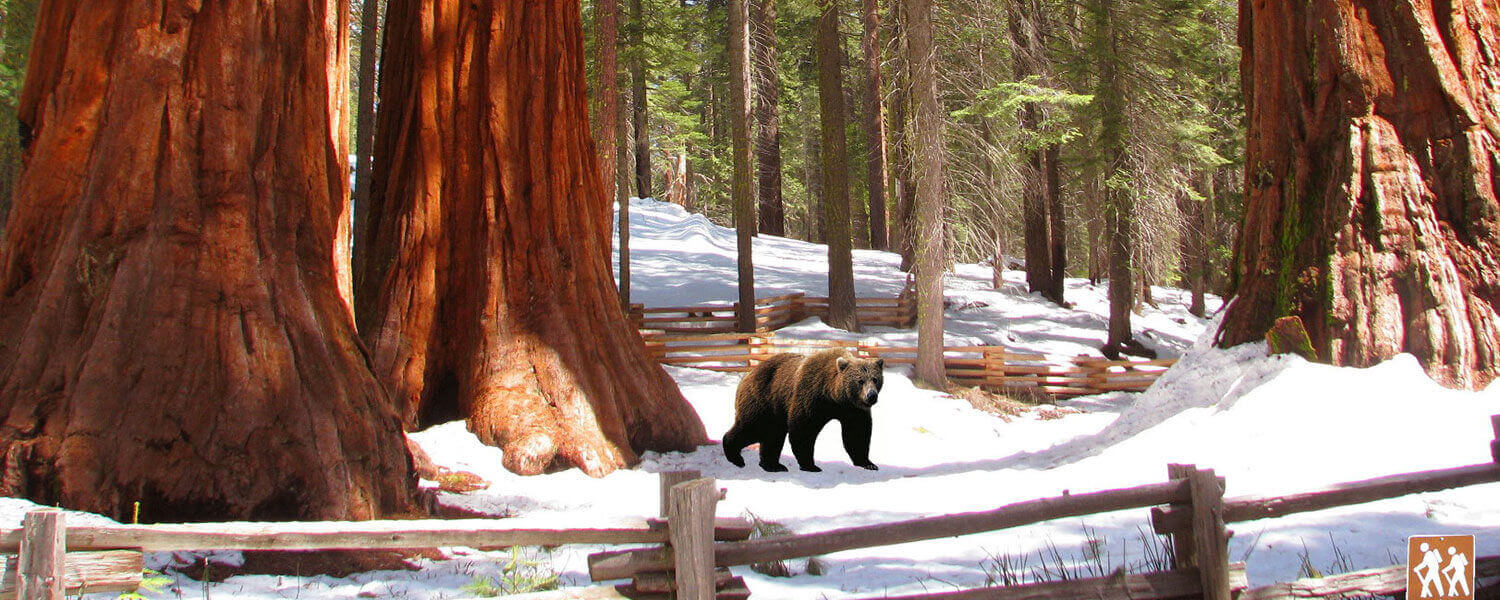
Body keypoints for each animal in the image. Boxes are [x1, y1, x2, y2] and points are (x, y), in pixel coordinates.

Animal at [723, 349, 882, 471]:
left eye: (875, 379)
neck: (833, 396)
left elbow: (857, 433)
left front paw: (868, 463)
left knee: (772, 434)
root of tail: (746, 375)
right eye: (860, 381)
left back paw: (773, 465)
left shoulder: (852, 409)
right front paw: (811, 465)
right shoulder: (811, 396)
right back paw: (735, 457)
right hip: (763, 400)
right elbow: (803, 429)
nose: (871, 396)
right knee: (753, 428)